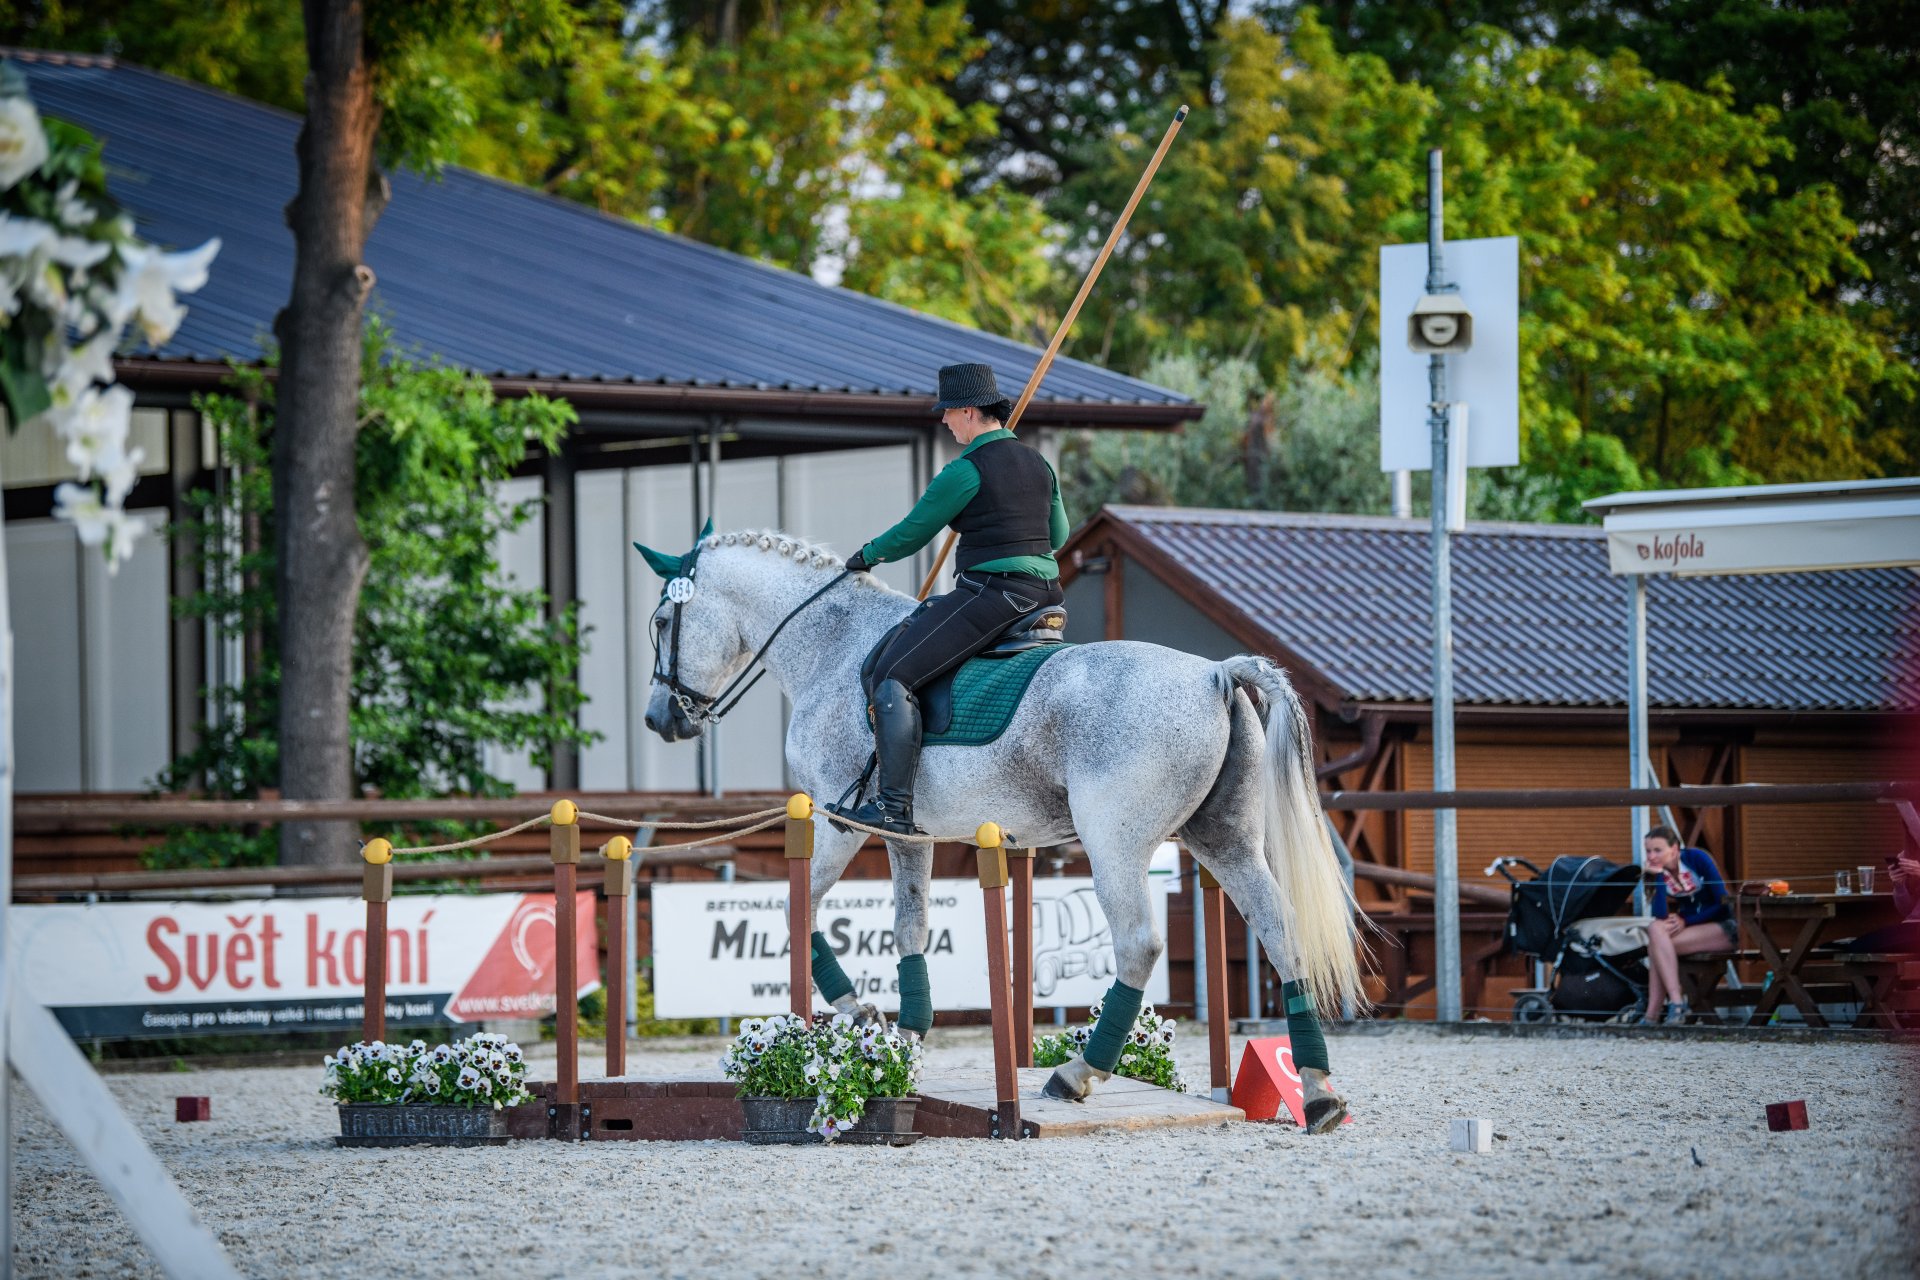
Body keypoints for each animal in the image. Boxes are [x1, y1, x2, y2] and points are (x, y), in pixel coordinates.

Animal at [645, 529, 1367, 1128]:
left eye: (661, 621)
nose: (659, 719)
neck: (832, 646)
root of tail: (1215, 673)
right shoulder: (908, 836)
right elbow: (910, 927)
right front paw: (905, 1038)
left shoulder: (840, 821)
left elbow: (801, 910)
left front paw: (859, 1012)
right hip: (1226, 842)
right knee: (1281, 932)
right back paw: (1317, 1090)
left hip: (1117, 846)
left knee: (1138, 944)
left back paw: (1077, 1074)